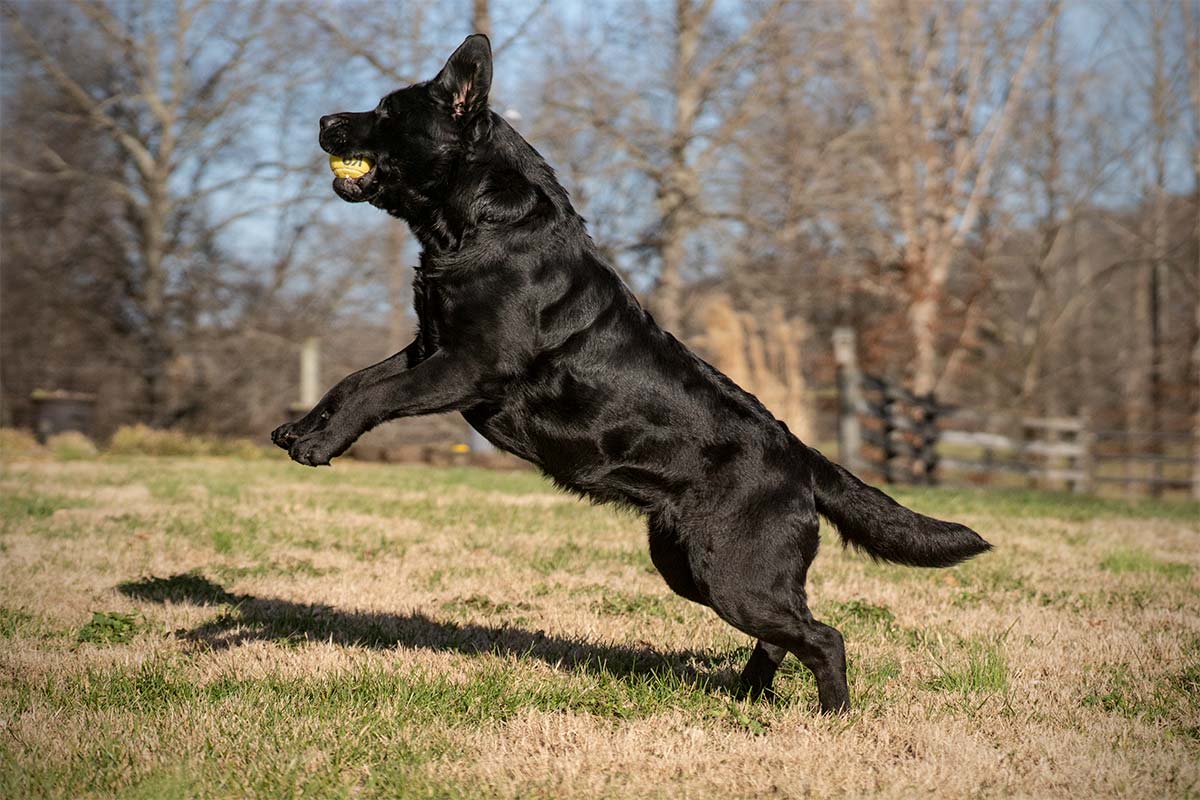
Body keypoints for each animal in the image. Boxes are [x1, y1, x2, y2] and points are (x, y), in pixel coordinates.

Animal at [274, 35, 993, 714]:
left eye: (387, 112)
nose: (324, 119)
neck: (482, 223)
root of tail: (802, 456)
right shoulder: (429, 345)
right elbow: (354, 382)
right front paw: (298, 430)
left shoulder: (469, 365)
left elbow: (378, 394)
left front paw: (317, 444)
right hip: (693, 567)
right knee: (784, 634)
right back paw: (749, 698)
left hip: (733, 575)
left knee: (824, 637)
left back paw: (833, 718)